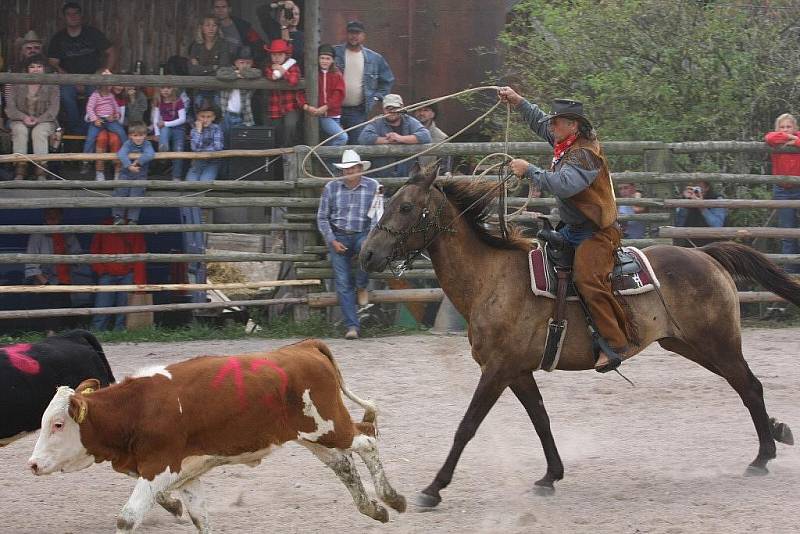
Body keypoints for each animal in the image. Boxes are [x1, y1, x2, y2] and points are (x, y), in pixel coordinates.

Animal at [28, 342, 404, 532]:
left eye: (58, 424)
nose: (32, 464)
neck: (139, 407)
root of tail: (303, 346)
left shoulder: (159, 468)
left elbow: (127, 518)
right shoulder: (186, 474)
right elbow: (200, 517)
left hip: (330, 426)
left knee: (367, 440)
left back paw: (392, 498)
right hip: (313, 437)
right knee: (343, 465)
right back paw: (374, 508)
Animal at [360, 166, 796, 510]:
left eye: (405, 207)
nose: (366, 255)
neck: (492, 278)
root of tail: (706, 255)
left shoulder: (497, 369)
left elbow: (467, 426)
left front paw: (433, 488)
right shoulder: (518, 371)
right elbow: (541, 419)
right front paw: (550, 476)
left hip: (717, 342)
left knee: (750, 385)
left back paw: (763, 456)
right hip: (689, 344)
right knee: (745, 385)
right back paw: (775, 434)